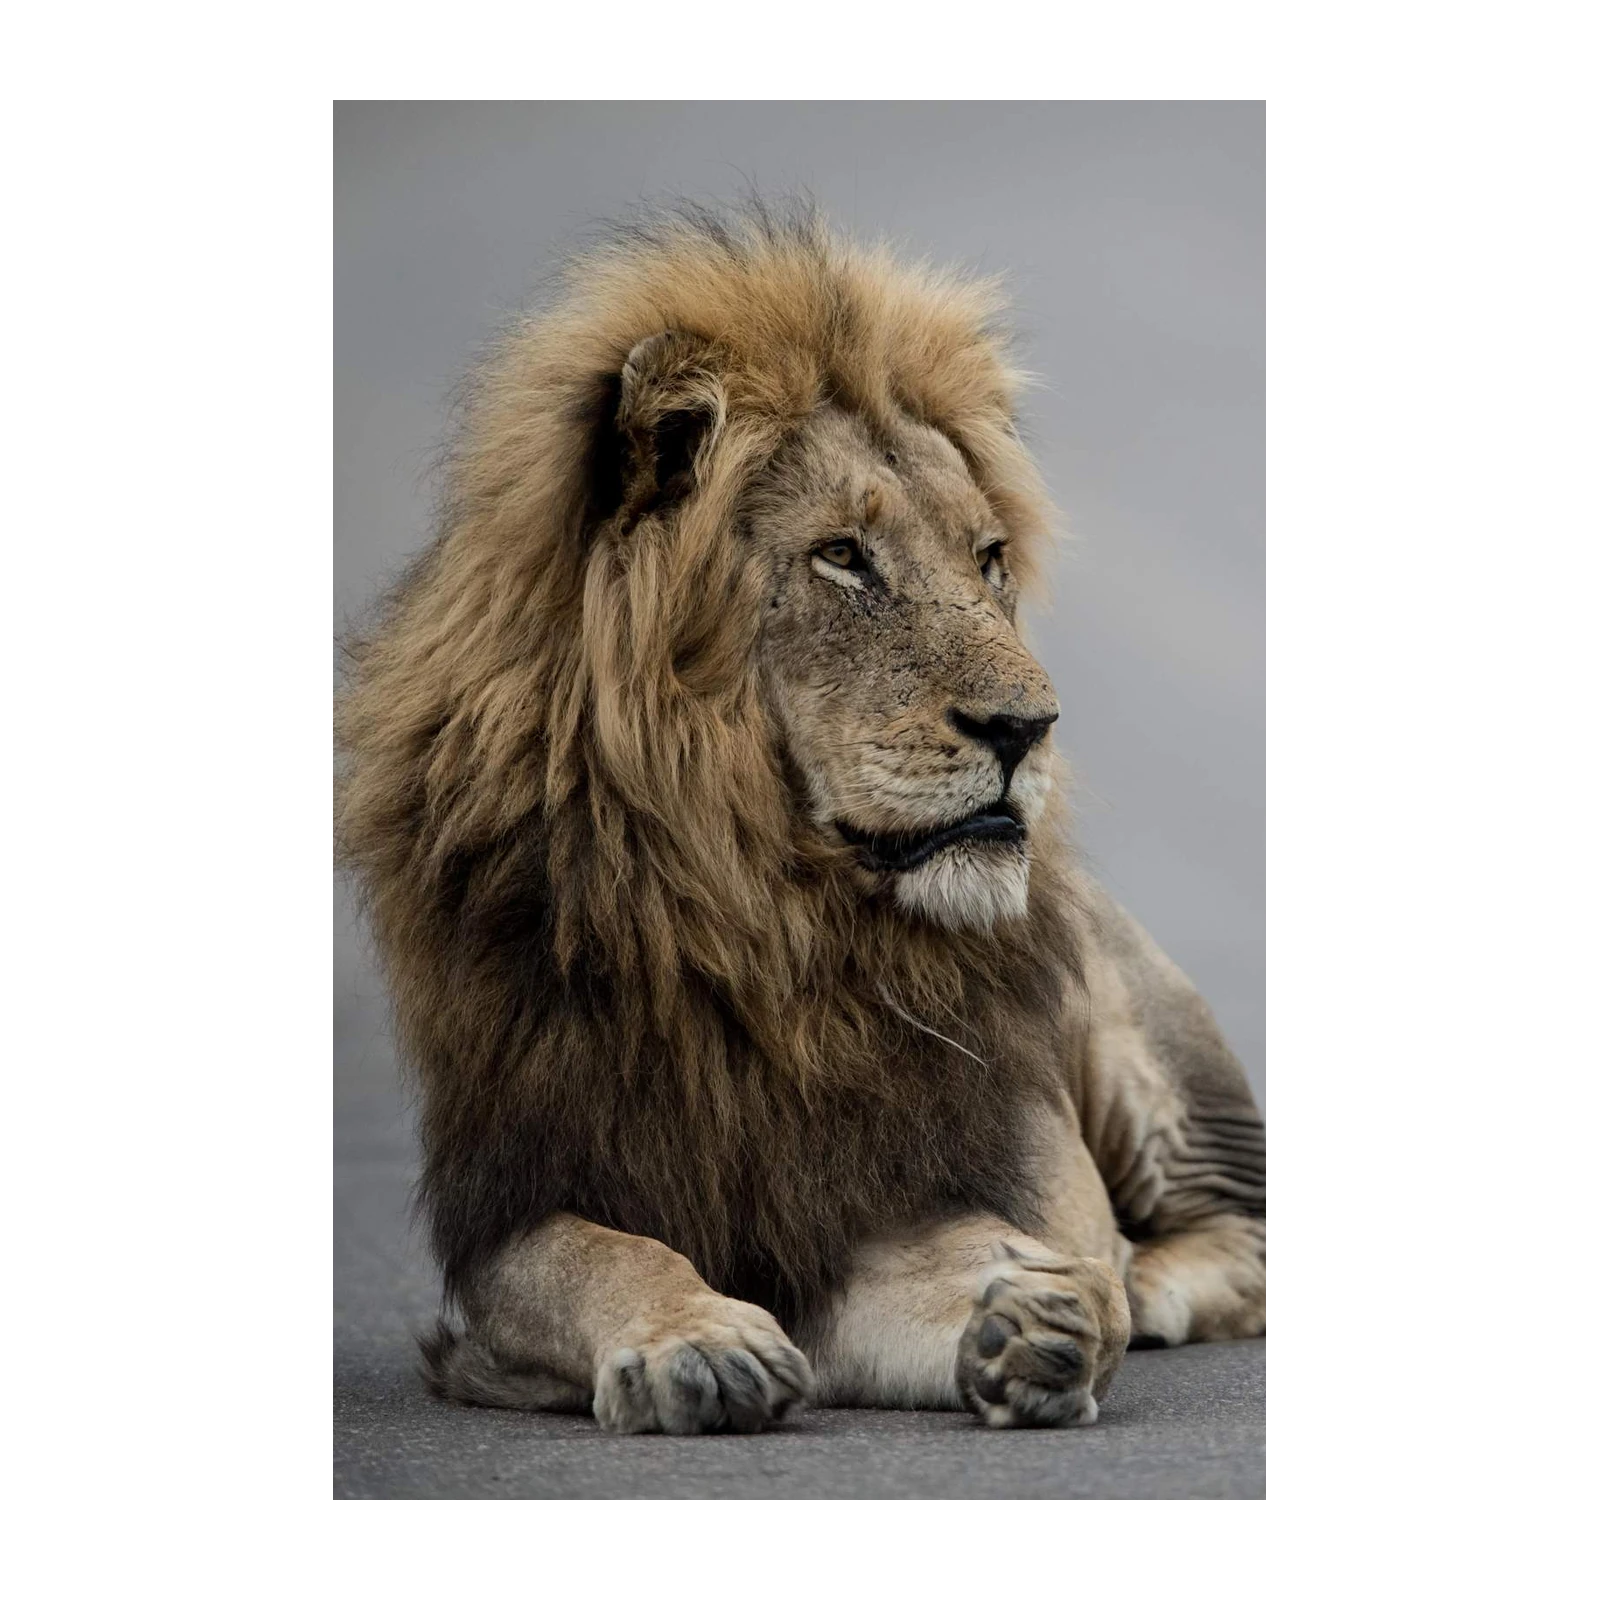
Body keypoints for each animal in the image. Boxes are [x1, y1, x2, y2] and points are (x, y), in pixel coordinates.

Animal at [333, 200, 1268, 1433]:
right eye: (841, 557)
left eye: (987, 558)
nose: (1029, 726)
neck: (771, 921)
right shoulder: (519, 1207)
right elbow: (601, 1258)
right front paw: (697, 1342)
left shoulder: (917, 1181)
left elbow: (1010, 1271)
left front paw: (1041, 1318)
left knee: (1239, 1236)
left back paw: (1150, 1282)